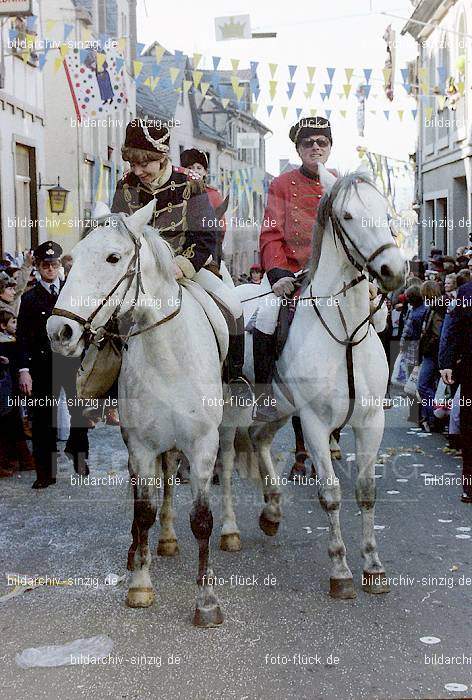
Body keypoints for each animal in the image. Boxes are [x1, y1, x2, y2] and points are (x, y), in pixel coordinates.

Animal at [47, 200, 227, 628]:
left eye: (113, 258)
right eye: (71, 259)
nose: (58, 331)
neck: (170, 358)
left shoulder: (202, 445)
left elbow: (202, 518)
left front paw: (207, 600)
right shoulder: (142, 445)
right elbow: (144, 510)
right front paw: (140, 585)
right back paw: (150, 545)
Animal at [218, 165, 406, 596]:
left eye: (385, 210)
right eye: (349, 215)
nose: (394, 271)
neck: (345, 331)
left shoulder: (371, 422)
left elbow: (366, 491)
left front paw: (373, 566)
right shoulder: (317, 423)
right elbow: (331, 494)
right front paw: (340, 570)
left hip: (277, 408)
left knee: (259, 440)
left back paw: (271, 509)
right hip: (231, 408)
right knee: (227, 459)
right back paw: (230, 530)